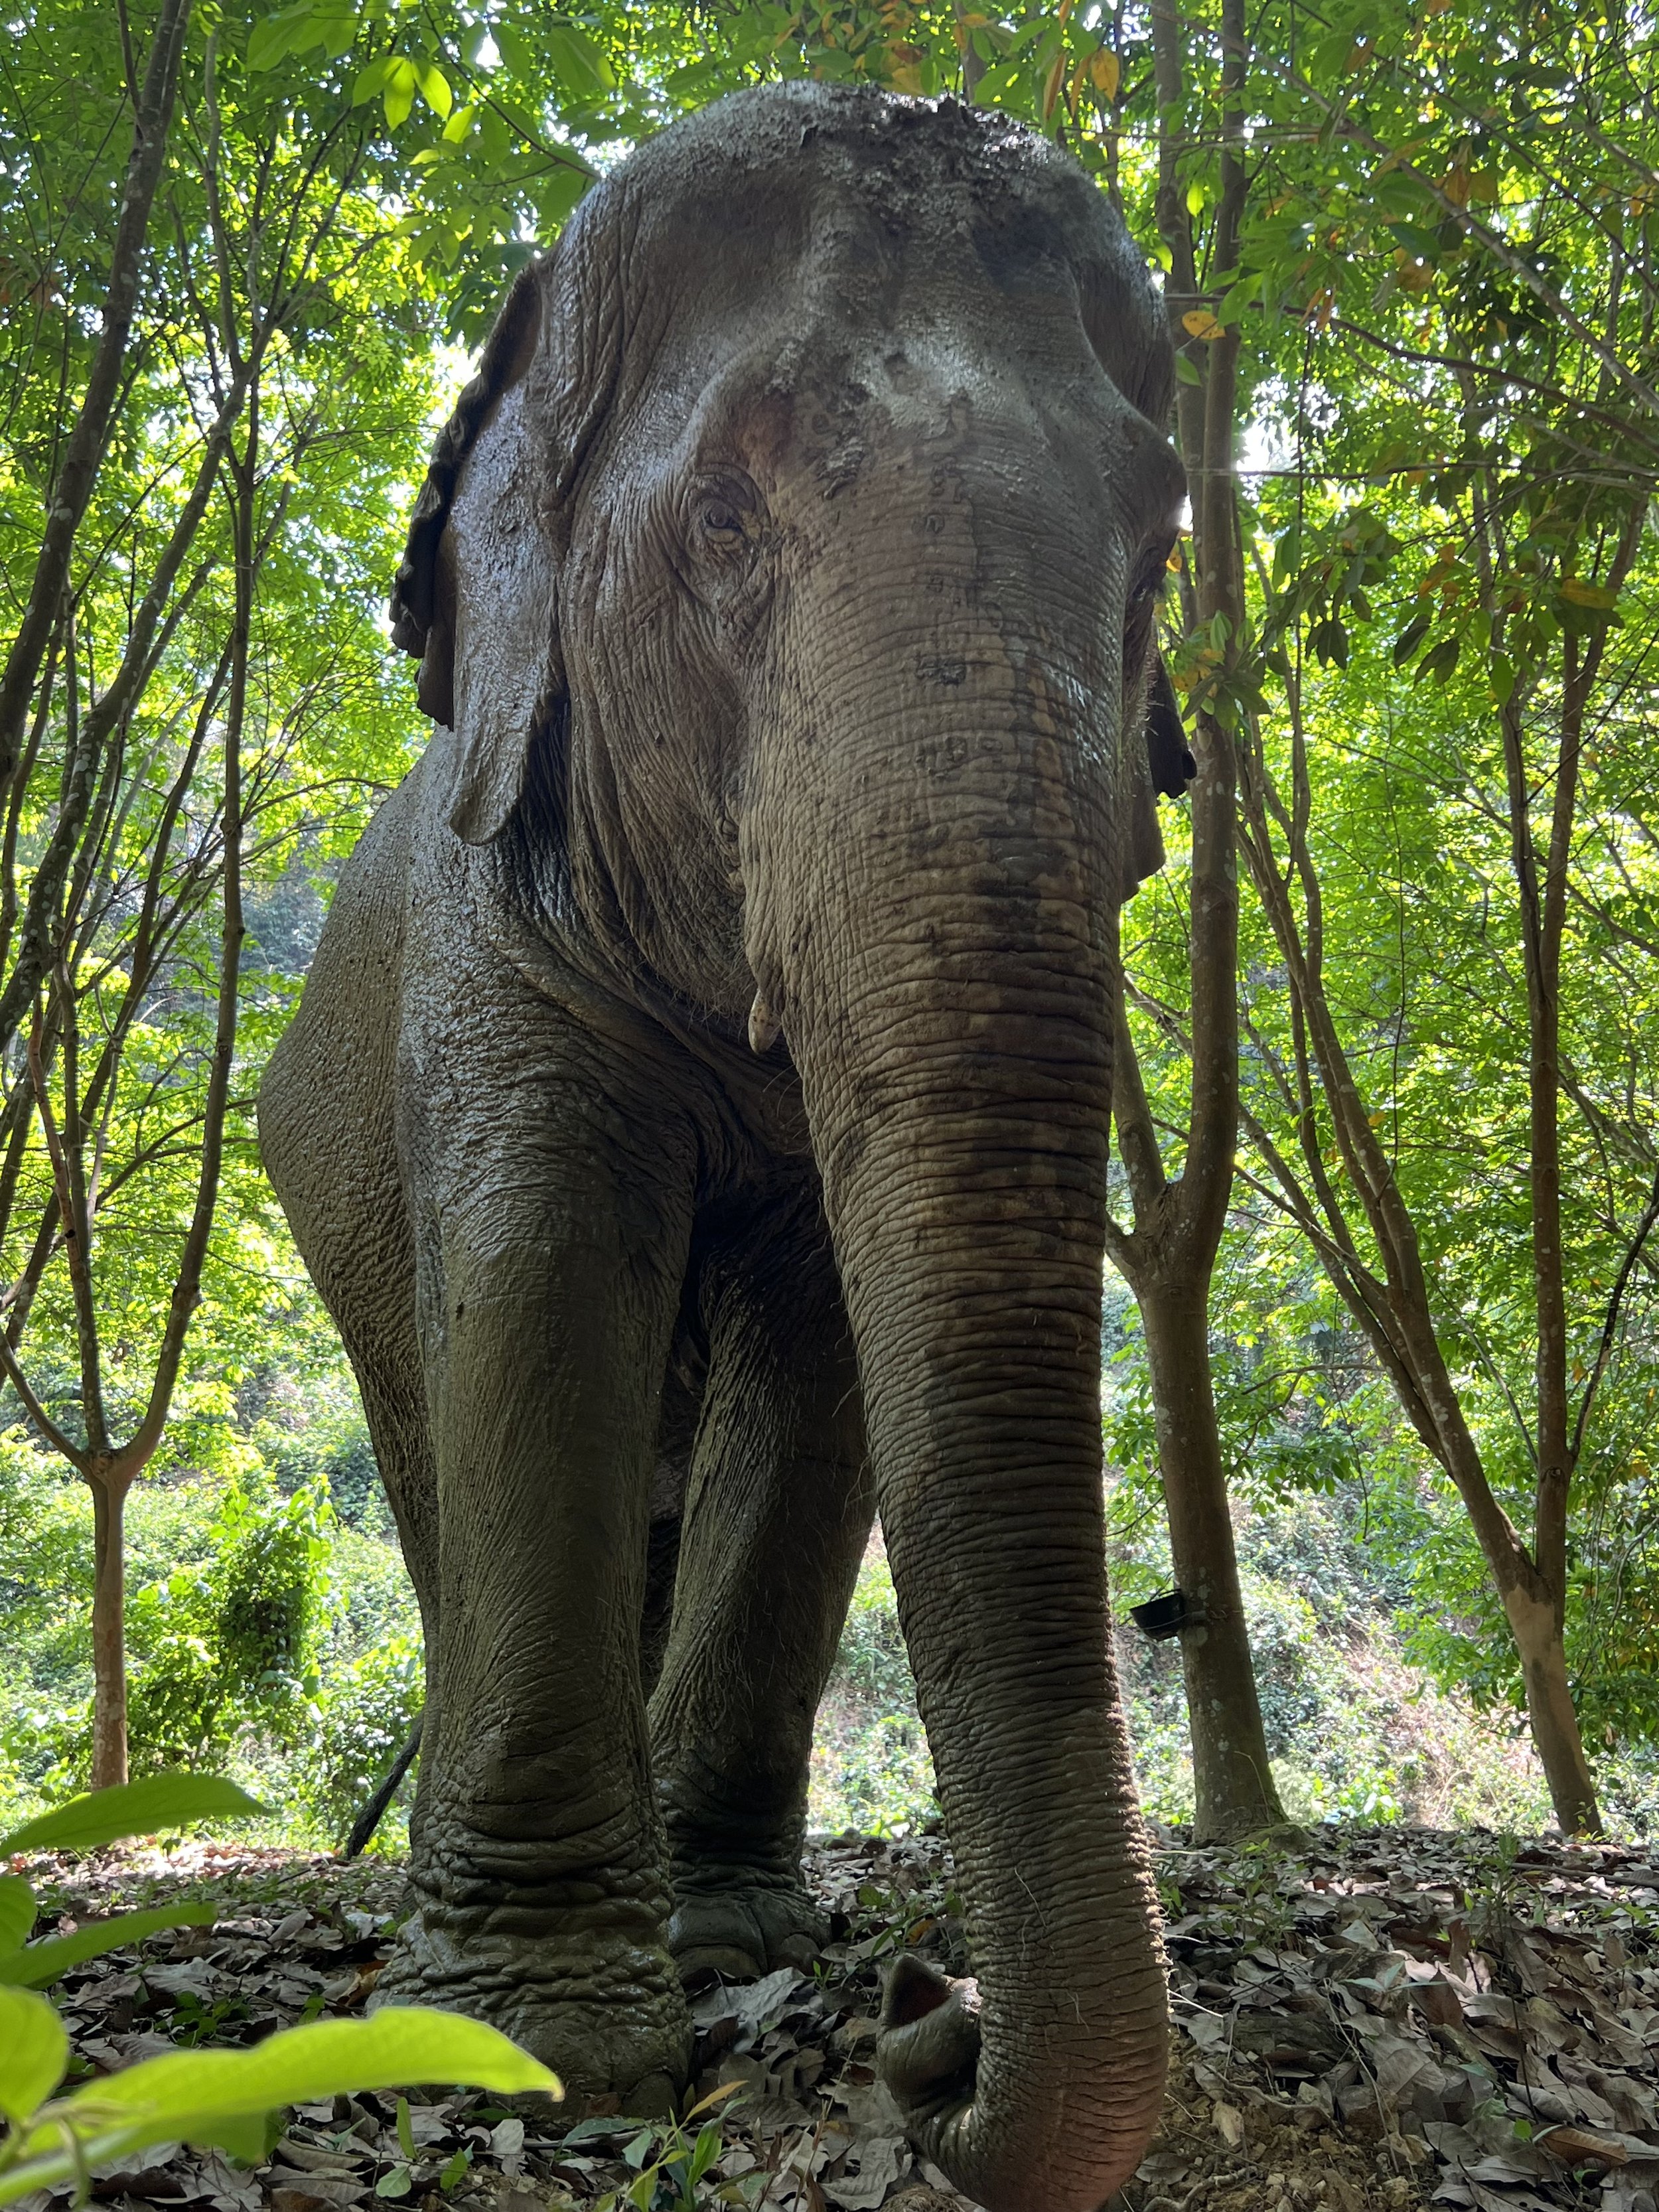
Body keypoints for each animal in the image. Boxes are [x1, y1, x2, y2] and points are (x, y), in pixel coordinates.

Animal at [259, 79, 1190, 2212]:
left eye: (1160, 539)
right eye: (722, 526)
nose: (932, 2012)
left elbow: (827, 1356)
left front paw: (725, 1949)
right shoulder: (487, 945)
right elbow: (535, 1284)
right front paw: (534, 2039)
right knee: (434, 1433)